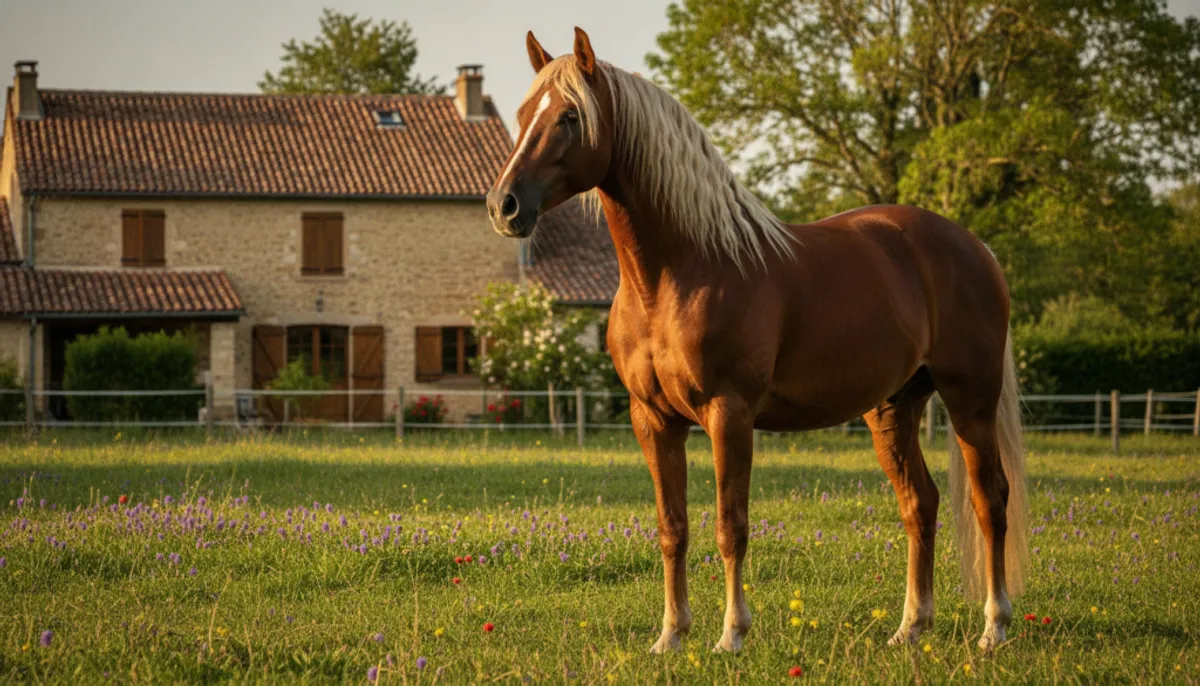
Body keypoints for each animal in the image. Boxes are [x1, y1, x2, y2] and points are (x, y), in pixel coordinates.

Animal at [486, 27, 1029, 655]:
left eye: (570, 116)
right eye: (523, 113)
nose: (503, 205)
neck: (679, 272)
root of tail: (973, 246)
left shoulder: (730, 414)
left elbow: (731, 526)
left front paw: (731, 635)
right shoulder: (653, 420)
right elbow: (672, 528)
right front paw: (671, 636)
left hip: (971, 400)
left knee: (991, 499)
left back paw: (994, 626)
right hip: (894, 408)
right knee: (921, 503)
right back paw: (910, 628)